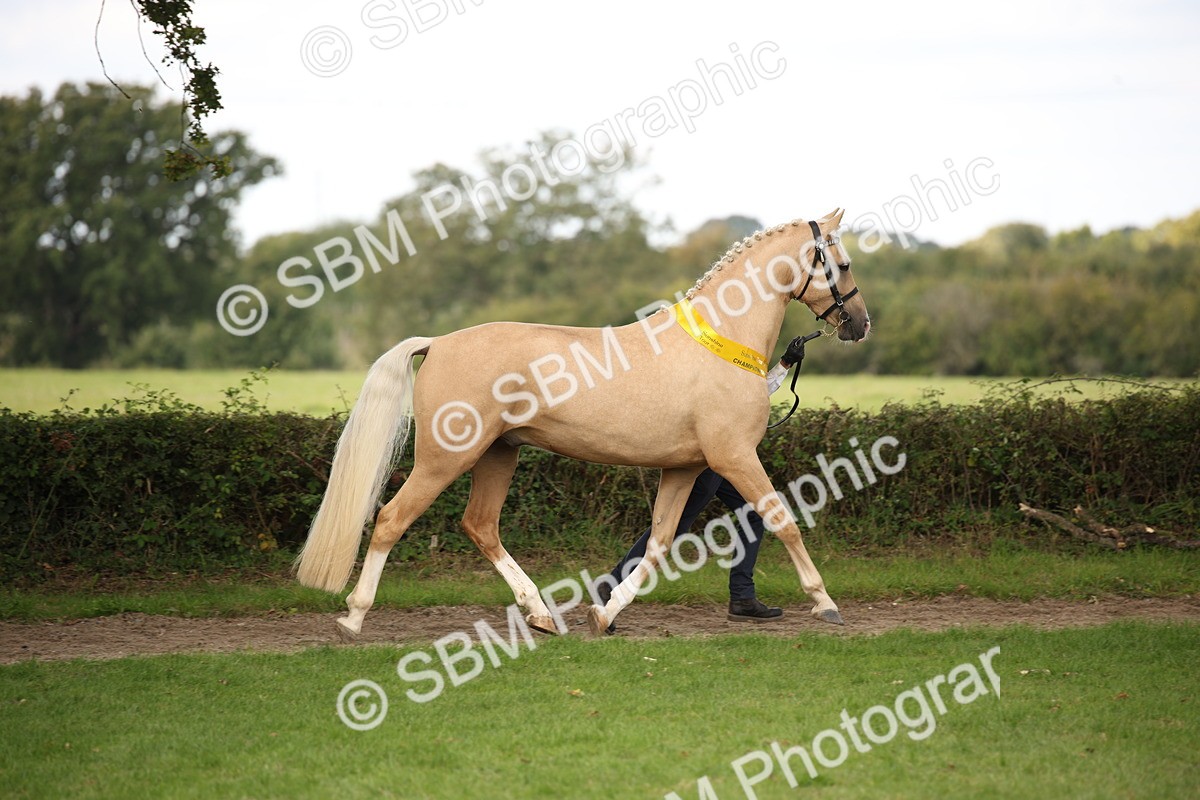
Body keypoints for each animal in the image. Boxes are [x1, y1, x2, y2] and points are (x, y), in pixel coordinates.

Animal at [295, 208, 871, 640]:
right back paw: (354, 616)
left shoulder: (685, 469)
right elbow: (782, 520)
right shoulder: (734, 456)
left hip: (499, 454)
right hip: (445, 459)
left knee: (480, 526)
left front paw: (605, 613)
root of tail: (436, 343)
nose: (861, 324)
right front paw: (825, 602)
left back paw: (541, 614)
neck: (721, 337)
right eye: (841, 263)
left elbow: (659, 543)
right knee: (392, 519)